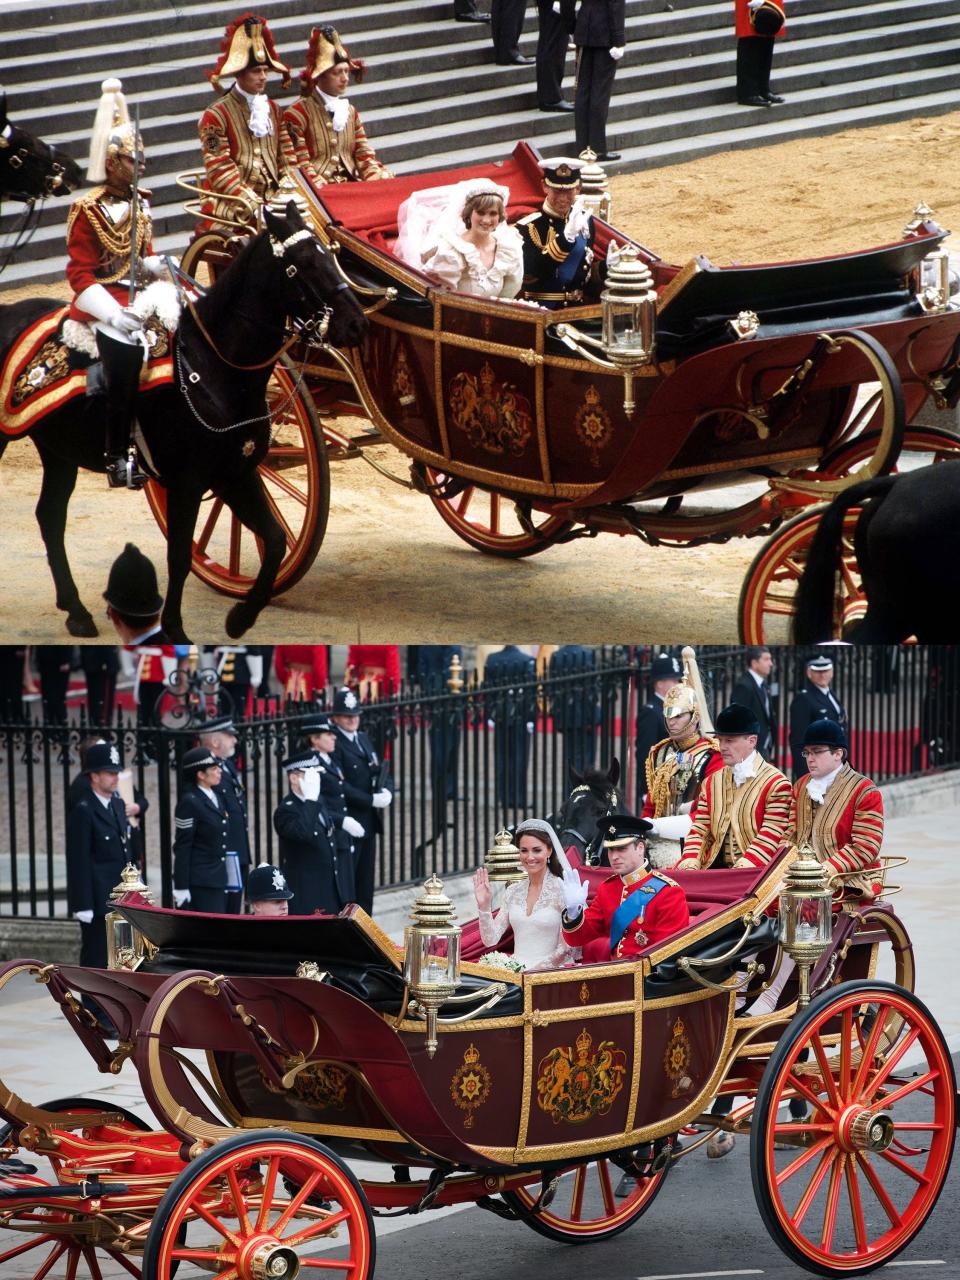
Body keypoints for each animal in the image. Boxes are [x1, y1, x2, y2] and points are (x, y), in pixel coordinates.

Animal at [0, 203, 368, 640]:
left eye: (333, 256)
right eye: (304, 263)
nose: (357, 324)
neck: (216, 366)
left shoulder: (236, 473)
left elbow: (276, 539)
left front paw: (241, 617)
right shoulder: (186, 482)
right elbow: (179, 554)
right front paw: (174, 630)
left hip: (58, 449)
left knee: (50, 516)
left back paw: (76, 611)